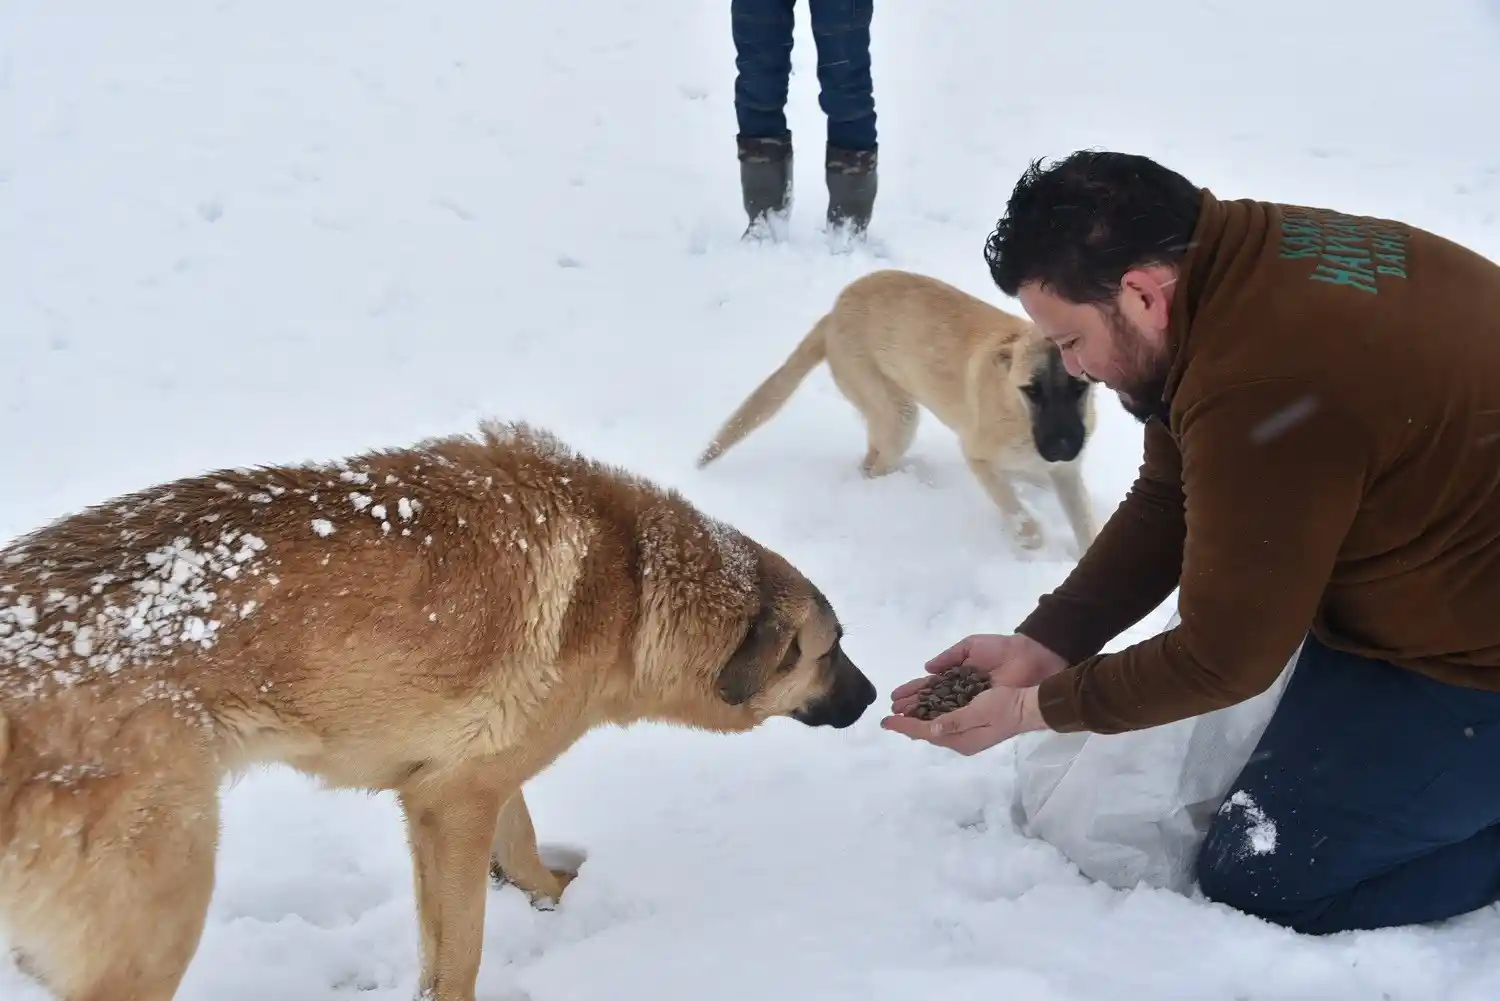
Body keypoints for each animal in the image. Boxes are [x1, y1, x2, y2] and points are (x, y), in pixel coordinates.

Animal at [0, 417, 876, 1001]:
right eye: (831, 650)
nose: (873, 698)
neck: (635, 578)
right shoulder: (449, 803)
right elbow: (458, 955)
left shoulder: (473, 778)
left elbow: (520, 840)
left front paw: (552, 893)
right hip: (163, 901)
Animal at [696, 270, 1098, 555]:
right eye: (1032, 391)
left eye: (1080, 388)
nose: (1064, 447)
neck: (1017, 412)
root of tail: (833, 313)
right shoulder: (979, 457)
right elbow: (1020, 515)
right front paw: (1031, 540)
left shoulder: (1065, 474)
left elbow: (1085, 525)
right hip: (897, 413)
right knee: (873, 467)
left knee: (870, 453)